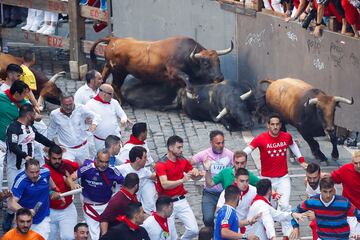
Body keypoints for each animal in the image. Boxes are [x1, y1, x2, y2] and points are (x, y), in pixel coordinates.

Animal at [88, 35, 232, 98]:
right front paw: (191, 91)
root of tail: (114, 39)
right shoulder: (173, 71)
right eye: (206, 63)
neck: (187, 55)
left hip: (109, 67)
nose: (220, 77)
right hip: (119, 72)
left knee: (103, 78)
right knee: (115, 85)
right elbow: (186, 77)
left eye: (218, 61)